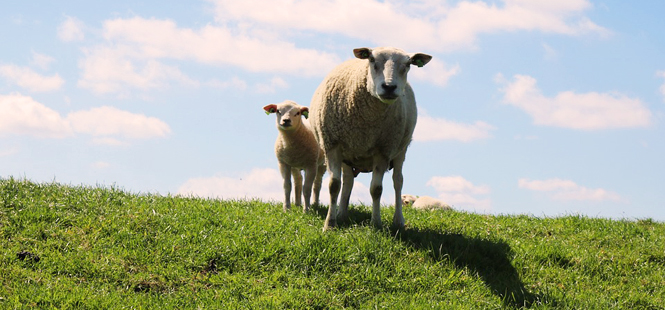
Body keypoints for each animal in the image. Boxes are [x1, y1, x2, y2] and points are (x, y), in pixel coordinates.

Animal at [310, 46, 434, 230]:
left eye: (408, 64)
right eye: (372, 60)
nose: (389, 87)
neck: (365, 122)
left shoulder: (384, 150)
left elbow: (376, 189)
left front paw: (376, 224)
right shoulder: (332, 145)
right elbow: (334, 185)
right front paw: (330, 224)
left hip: (401, 149)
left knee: (398, 181)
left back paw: (399, 221)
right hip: (348, 154)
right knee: (348, 181)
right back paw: (342, 214)